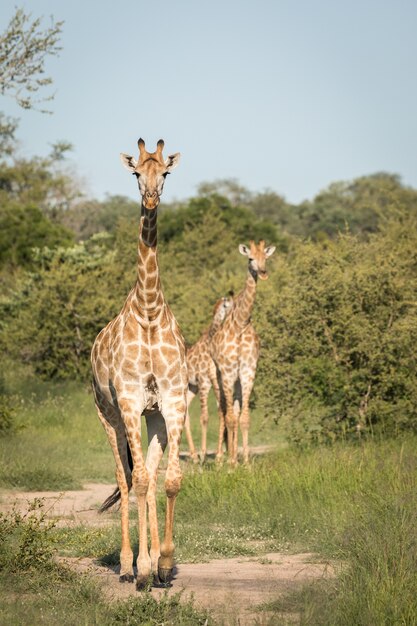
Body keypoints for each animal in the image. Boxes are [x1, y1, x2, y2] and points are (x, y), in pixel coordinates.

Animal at [185, 294, 234, 460]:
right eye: (227, 305)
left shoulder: (215, 382)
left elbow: (221, 412)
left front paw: (221, 454)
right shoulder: (204, 382)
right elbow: (205, 417)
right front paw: (204, 454)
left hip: (191, 388)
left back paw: (193, 455)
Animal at [210, 239, 274, 464]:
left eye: (266, 257)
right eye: (250, 258)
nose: (263, 272)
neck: (240, 323)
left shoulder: (247, 371)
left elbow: (244, 417)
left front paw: (245, 463)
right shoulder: (228, 372)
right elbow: (229, 417)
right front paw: (230, 464)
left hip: (236, 380)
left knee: (235, 412)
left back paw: (233, 456)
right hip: (217, 377)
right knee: (222, 411)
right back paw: (221, 459)